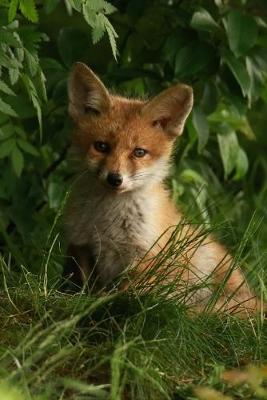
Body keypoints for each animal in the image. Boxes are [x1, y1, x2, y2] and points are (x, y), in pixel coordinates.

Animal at [64, 62, 264, 318]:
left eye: (139, 152)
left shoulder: (146, 256)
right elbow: (84, 286)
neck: (107, 222)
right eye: (101, 146)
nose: (115, 179)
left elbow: (126, 294)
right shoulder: (81, 245)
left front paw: (108, 304)